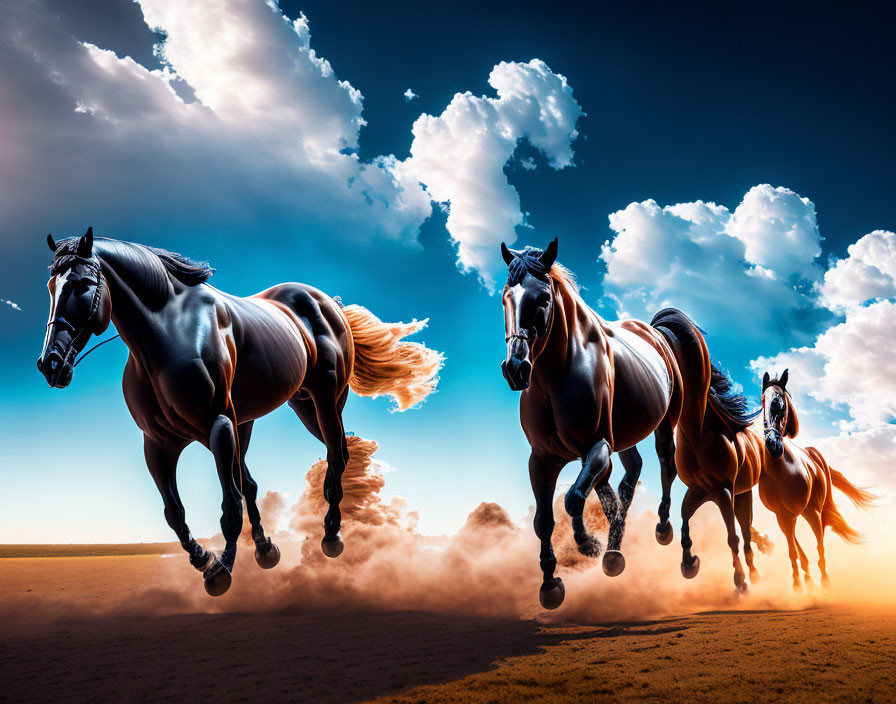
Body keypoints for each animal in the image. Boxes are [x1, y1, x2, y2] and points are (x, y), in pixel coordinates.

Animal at [38, 228, 444, 596]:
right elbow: (179, 512)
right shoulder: (160, 443)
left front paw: (221, 569)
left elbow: (230, 504)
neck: (169, 334)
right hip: (297, 405)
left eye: (83, 284)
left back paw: (331, 535)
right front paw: (215, 557)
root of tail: (326, 302)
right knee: (323, 456)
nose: (50, 364)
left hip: (326, 400)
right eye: (51, 286)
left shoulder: (218, 425)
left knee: (337, 454)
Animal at [496, 238, 712, 612]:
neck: (556, 376)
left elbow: (573, 499)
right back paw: (615, 550)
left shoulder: (597, 446)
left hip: (663, 424)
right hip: (625, 436)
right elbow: (546, 518)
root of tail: (655, 332)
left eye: (544, 298)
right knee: (628, 474)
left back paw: (662, 532)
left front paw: (589, 545)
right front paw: (551, 583)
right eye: (506, 298)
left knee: (665, 467)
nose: (516, 368)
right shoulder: (542, 459)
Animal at [756, 372, 876, 592]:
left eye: (781, 402)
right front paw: (798, 584)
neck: (779, 471)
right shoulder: (782, 515)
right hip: (796, 515)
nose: (772, 444)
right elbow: (793, 550)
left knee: (822, 536)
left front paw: (824, 582)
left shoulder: (811, 511)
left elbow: (818, 545)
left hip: (814, 510)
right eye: (763, 402)